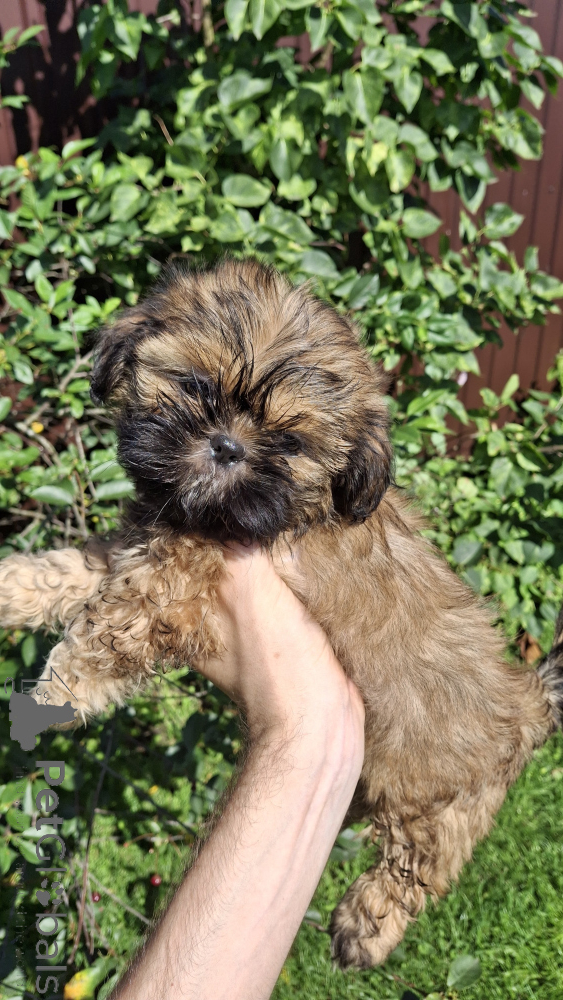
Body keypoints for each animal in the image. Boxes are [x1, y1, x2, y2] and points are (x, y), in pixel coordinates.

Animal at [1, 258, 561, 968]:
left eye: (287, 440)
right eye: (195, 385)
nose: (226, 446)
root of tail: (533, 702)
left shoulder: (177, 581)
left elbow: (116, 626)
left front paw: (57, 691)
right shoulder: (138, 543)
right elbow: (69, 571)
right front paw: (11, 587)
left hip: (444, 794)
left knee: (424, 861)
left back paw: (366, 926)